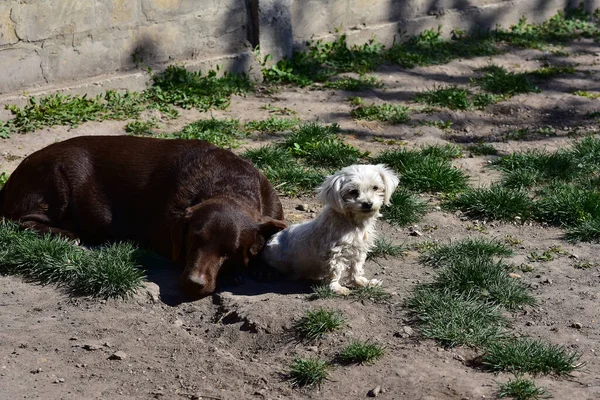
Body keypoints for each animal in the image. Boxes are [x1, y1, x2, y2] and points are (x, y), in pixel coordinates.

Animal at [0, 136, 286, 298]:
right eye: (193, 240)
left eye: (229, 252)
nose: (192, 284)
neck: (229, 186)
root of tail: (13, 177)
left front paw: (263, 265)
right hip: (56, 180)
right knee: (17, 221)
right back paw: (65, 235)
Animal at [262, 164, 398, 296]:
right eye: (353, 191)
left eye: (375, 187)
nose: (368, 203)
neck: (353, 223)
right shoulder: (335, 253)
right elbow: (335, 272)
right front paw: (337, 288)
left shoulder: (359, 250)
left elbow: (356, 269)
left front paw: (362, 282)